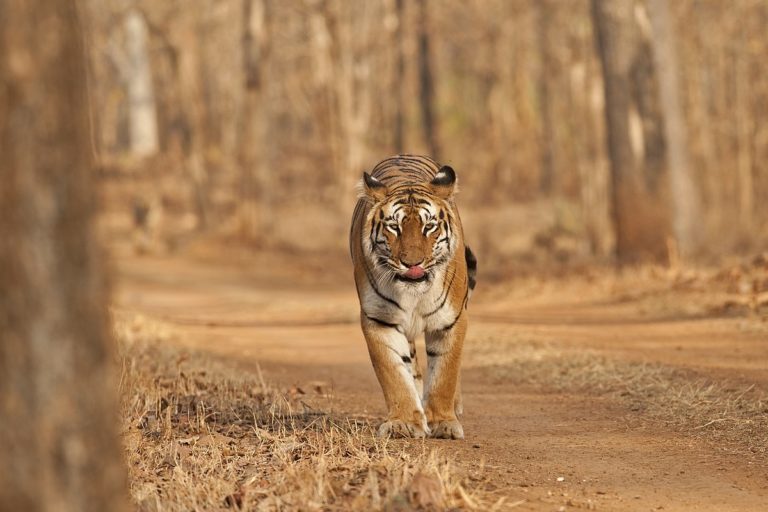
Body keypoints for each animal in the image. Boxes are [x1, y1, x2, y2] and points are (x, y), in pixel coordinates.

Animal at [352, 154, 476, 438]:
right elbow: (394, 375)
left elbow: (445, 373)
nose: (412, 264)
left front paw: (443, 423)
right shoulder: (379, 319)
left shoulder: (451, 320)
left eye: (429, 227)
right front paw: (404, 423)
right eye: (394, 227)